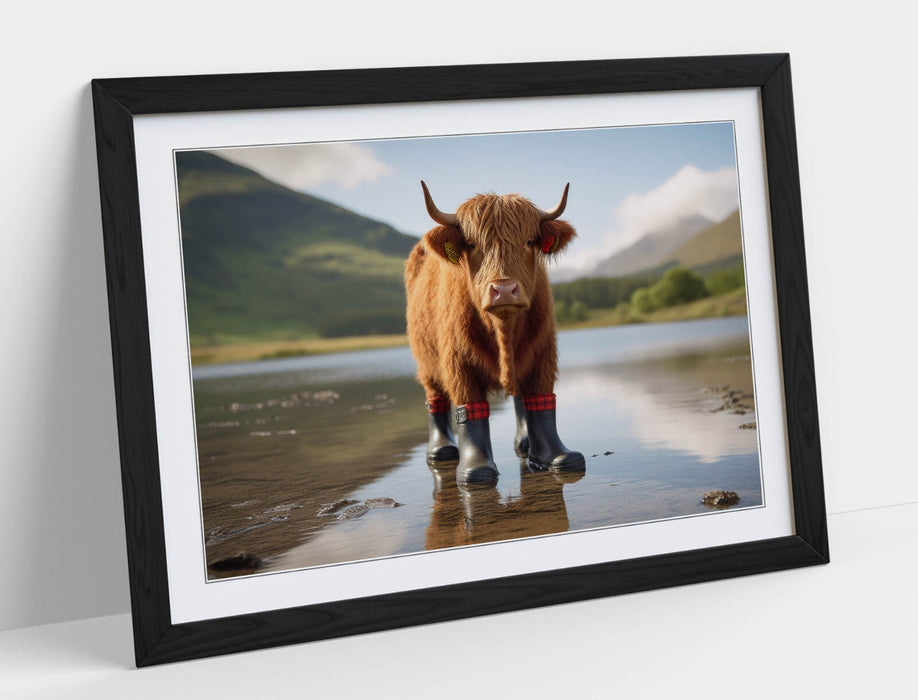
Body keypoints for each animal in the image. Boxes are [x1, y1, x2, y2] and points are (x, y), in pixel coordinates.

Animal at [405, 181, 585, 485]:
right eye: (472, 245)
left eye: (529, 242)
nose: (504, 290)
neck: (502, 329)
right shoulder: (458, 363)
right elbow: (470, 411)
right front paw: (476, 470)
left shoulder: (544, 353)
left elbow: (541, 401)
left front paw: (556, 458)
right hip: (426, 364)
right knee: (435, 400)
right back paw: (441, 451)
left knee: (521, 399)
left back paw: (524, 444)